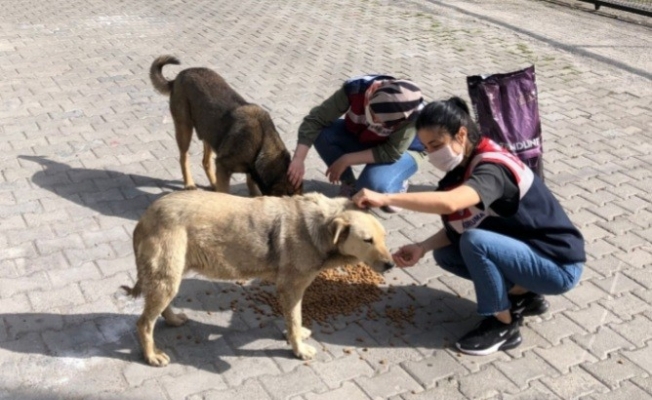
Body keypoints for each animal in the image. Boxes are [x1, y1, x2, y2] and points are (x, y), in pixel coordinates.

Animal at [122, 191, 394, 366]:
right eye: (367, 240)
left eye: (384, 237)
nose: (391, 264)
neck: (321, 227)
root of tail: (146, 216)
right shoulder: (291, 288)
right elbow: (294, 320)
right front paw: (298, 349)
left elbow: (293, 320)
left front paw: (295, 336)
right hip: (166, 277)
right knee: (143, 323)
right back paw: (151, 355)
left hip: (170, 276)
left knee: (158, 310)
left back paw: (173, 319)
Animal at [149, 55, 300, 197]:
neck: (262, 144)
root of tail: (178, 77)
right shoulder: (223, 166)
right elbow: (226, 191)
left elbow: (250, 183)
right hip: (184, 129)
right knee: (183, 157)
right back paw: (190, 184)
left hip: (209, 133)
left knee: (205, 162)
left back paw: (213, 184)